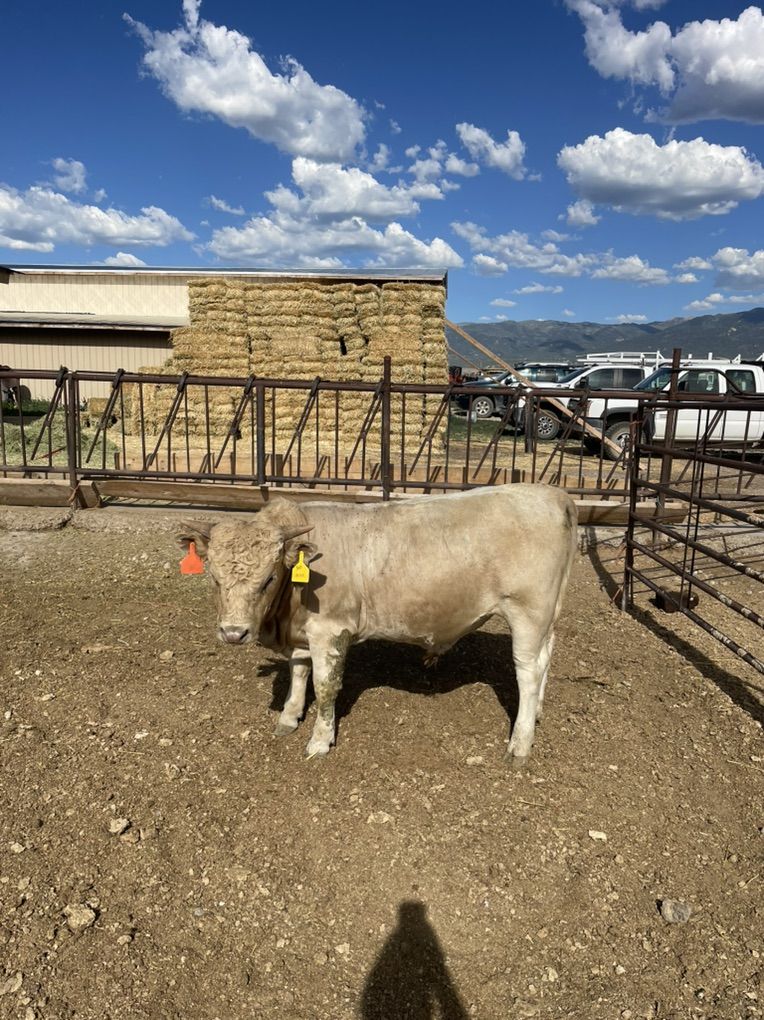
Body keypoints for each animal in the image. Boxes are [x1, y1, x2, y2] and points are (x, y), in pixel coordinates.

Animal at [179, 484, 577, 765]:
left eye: (268, 579)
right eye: (214, 578)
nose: (233, 633)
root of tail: (551, 494)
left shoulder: (330, 631)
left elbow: (325, 687)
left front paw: (319, 740)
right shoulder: (303, 635)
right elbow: (298, 672)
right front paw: (289, 718)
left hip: (528, 611)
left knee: (528, 671)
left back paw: (520, 744)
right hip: (547, 616)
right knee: (546, 659)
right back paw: (537, 714)